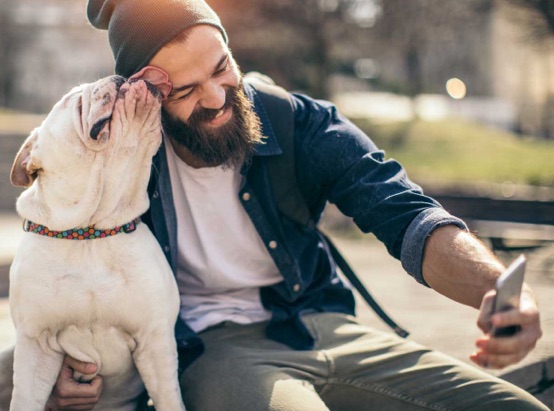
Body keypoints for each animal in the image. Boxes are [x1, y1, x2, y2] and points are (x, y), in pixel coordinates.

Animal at [3, 71, 187, 411]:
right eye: (72, 98)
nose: (118, 76)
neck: (89, 233)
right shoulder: (36, 343)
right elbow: (24, 400)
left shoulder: (155, 342)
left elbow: (170, 400)